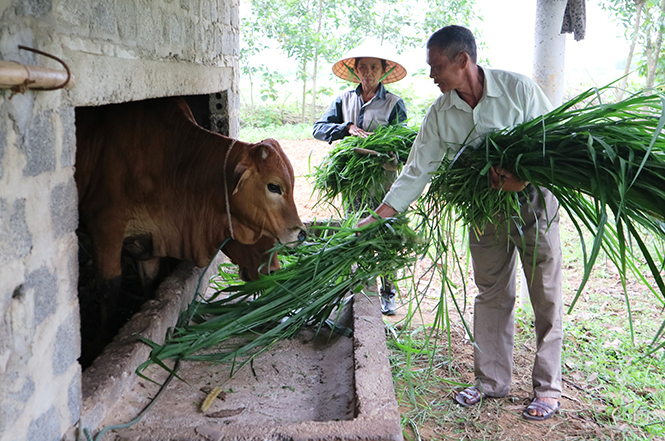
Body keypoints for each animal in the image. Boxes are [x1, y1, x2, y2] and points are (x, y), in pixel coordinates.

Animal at [75, 96, 304, 348]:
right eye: (274, 186)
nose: (301, 233)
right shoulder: (105, 225)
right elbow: (109, 286)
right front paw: (103, 340)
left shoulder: (149, 240)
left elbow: (151, 279)